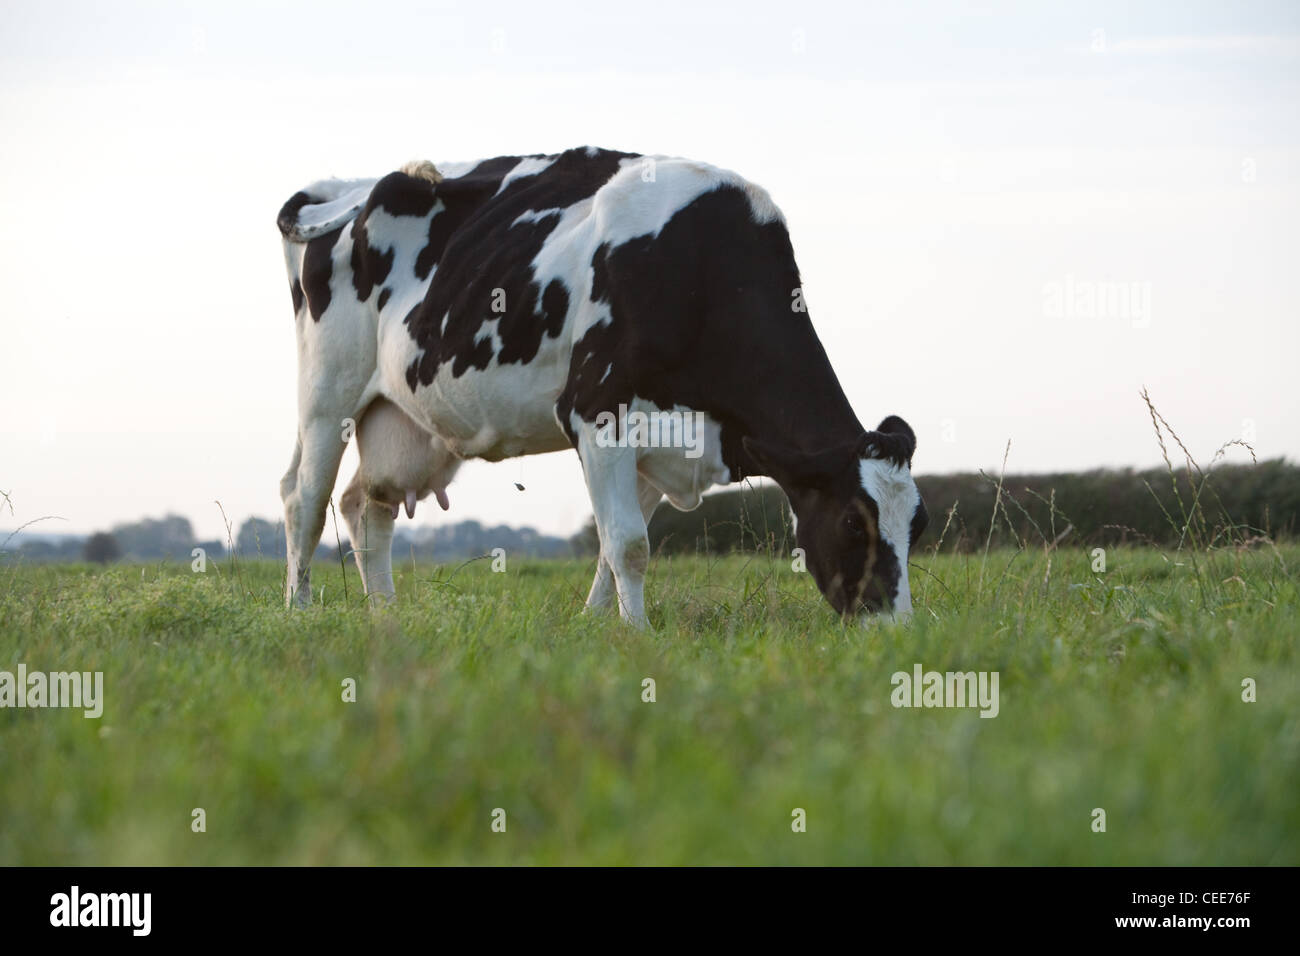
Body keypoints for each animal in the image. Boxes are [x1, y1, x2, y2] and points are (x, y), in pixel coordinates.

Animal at [276, 145, 925, 624]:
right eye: (853, 522)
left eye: (916, 524)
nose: (893, 628)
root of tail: (345, 185)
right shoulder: (597, 411)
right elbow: (629, 544)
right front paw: (637, 634)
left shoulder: (663, 438)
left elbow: (613, 547)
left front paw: (596, 625)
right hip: (327, 393)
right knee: (304, 499)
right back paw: (299, 609)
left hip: (401, 420)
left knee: (366, 504)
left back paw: (384, 613)